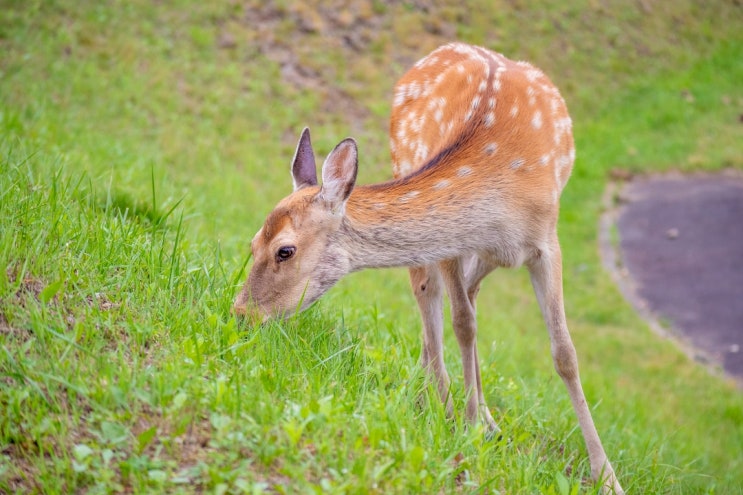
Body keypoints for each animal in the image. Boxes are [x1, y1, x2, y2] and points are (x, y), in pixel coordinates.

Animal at [235, 43, 624, 495]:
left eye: (285, 250)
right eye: (252, 242)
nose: (241, 314)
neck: (501, 199)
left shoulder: (547, 240)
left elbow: (564, 352)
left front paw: (607, 476)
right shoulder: (452, 243)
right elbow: (462, 324)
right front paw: (465, 426)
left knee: (461, 299)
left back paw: (471, 411)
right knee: (432, 298)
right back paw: (441, 400)